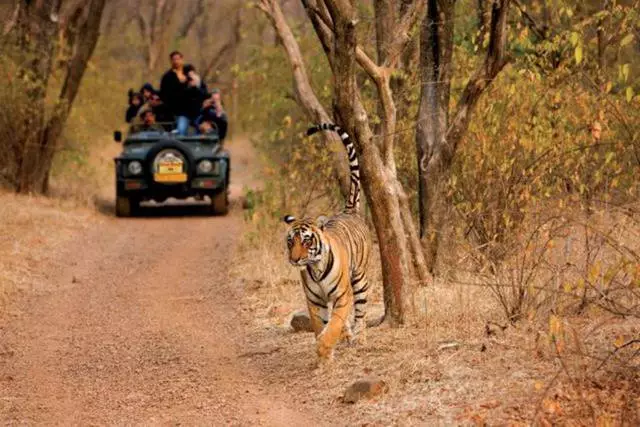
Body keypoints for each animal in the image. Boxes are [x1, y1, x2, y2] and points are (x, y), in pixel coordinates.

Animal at [284, 123, 372, 364]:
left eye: (306, 240)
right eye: (290, 241)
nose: (295, 259)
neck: (315, 268)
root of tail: (349, 211)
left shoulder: (342, 296)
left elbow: (333, 324)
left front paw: (325, 348)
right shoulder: (315, 302)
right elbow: (320, 326)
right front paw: (324, 353)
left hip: (359, 278)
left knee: (360, 311)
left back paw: (360, 338)